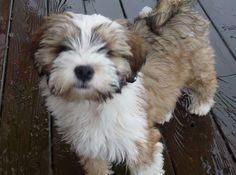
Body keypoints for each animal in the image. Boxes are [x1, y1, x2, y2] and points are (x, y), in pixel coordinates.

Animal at [31, 0, 218, 174]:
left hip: (197, 64)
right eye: (62, 48)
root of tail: (179, 8)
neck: (93, 102)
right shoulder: (90, 145)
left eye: (108, 51)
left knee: (207, 81)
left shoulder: (141, 141)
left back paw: (202, 104)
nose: (83, 70)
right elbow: (97, 168)